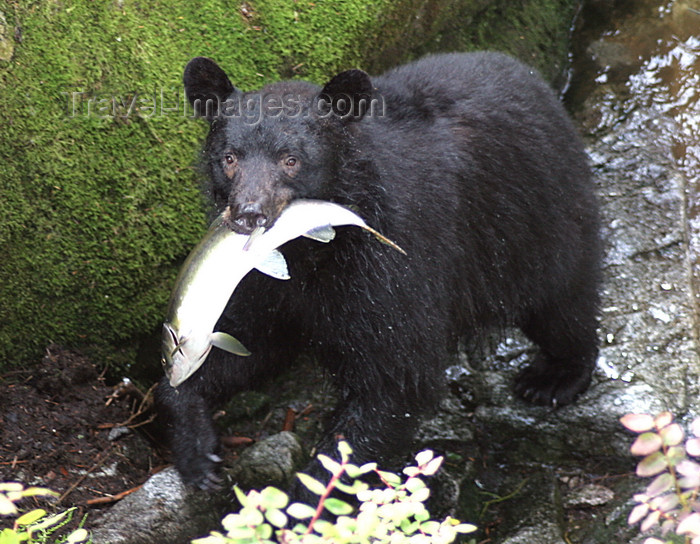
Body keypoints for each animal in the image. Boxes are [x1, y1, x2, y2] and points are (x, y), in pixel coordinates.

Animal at [157, 53, 600, 490]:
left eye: (291, 160)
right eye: (229, 158)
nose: (249, 215)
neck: (309, 251)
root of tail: (526, 73)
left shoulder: (388, 265)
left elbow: (395, 377)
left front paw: (308, 497)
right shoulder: (255, 281)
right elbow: (246, 341)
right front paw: (198, 450)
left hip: (536, 216)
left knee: (562, 298)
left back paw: (554, 378)